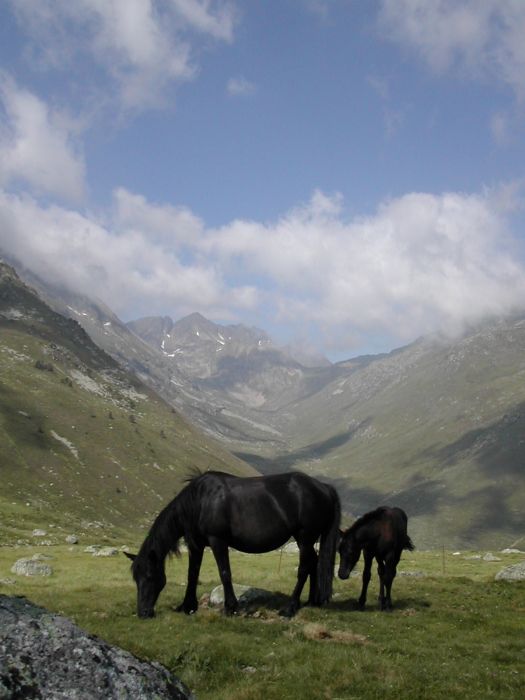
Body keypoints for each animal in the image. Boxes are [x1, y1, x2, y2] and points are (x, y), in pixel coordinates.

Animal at [125, 470, 342, 616]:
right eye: (136, 578)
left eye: (150, 576)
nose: (143, 613)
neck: (200, 501)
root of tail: (324, 487)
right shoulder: (196, 545)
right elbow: (192, 574)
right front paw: (187, 606)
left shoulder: (218, 541)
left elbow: (225, 573)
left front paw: (231, 608)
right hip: (307, 540)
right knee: (314, 564)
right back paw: (312, 601)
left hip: (305, 538)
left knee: (304, 568)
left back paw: (289, 608)